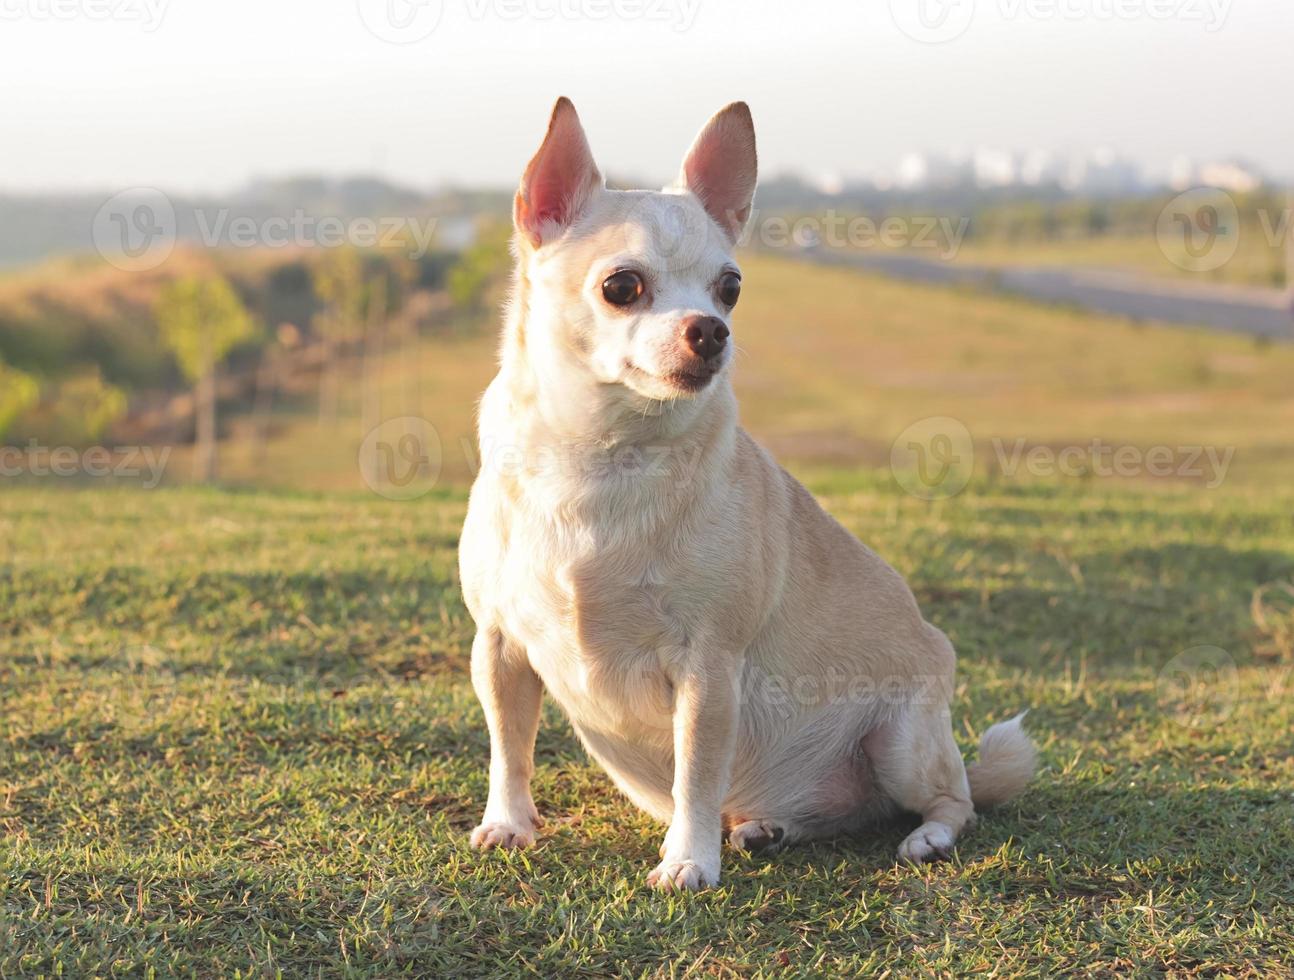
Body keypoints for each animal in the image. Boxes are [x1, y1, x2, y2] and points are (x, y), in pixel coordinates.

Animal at [460, 97, 1035, 885]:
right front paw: (508, 823)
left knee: (955, 801)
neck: (604, 457)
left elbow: (697, 774)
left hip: (905, 743)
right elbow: (508, 747)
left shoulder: (709, 669)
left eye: (730, 288)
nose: (712, 330)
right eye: (621, 287)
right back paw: (767, 826)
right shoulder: (499, 648)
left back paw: (926, 836)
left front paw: (687, 861)